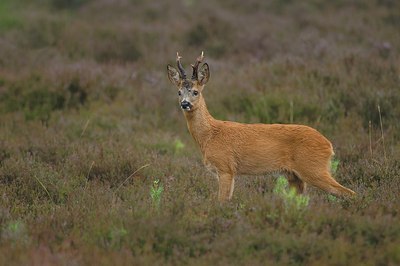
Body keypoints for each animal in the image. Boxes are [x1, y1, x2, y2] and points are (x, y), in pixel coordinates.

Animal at [166, 52, 356, 202]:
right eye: (179, 92)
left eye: (195, 92)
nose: (185, 104)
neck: (209, 135)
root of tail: (329, 145)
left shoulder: (226, 167)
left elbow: (222, 201)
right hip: (295, 176)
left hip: (314, 168)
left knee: (348, 193)